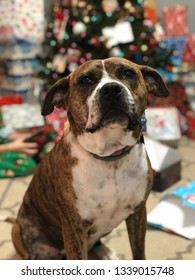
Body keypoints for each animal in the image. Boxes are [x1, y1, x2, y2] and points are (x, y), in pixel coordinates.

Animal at [11, 57, 169, 260]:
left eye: (128, 73)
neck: (110, 157)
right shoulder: (74, 229)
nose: (111, 89)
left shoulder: (138, 213)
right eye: (85, 80)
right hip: (24, 230)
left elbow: (139, 252)